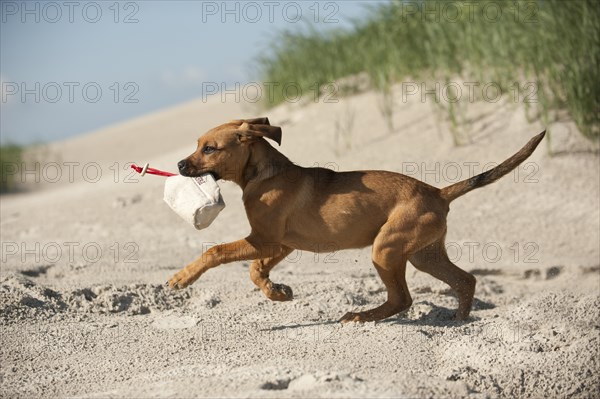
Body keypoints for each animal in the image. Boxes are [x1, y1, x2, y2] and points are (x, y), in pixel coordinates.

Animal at [168, 118, 544, 322]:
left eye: (209, 149)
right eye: (198, 146)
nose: (180, 166)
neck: (264, 173)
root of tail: (438, 192)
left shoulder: (265, 239)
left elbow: (216, 251)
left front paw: (181, 278)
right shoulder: (281, 243)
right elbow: (255, 270)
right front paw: (277, 292)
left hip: (386, 249)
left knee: (403, 299)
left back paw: (362, 316)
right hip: (424, 254)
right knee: (465, 281)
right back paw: (459, 321)